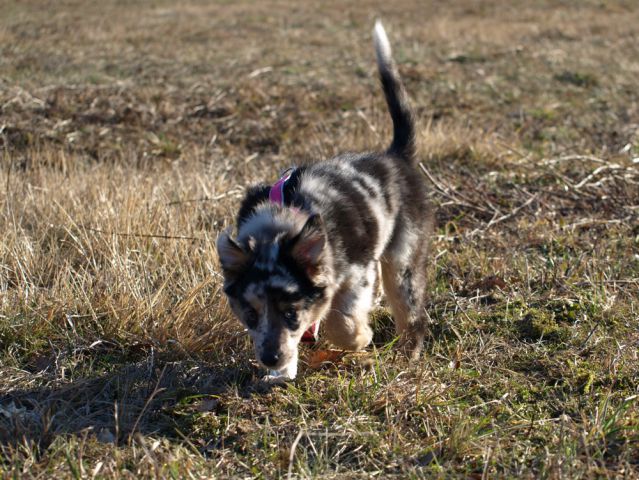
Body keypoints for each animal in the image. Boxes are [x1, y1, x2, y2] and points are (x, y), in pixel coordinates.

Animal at [218, 21, 432, 382]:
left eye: (291, 313)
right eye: (250, 313)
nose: (271, 360)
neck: (282, 224)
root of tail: (395, 157)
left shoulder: (358, 271)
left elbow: (339, 319)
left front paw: (361, 337)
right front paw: (283, 373)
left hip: (403, 255)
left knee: (410, 310)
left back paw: (408, 356)